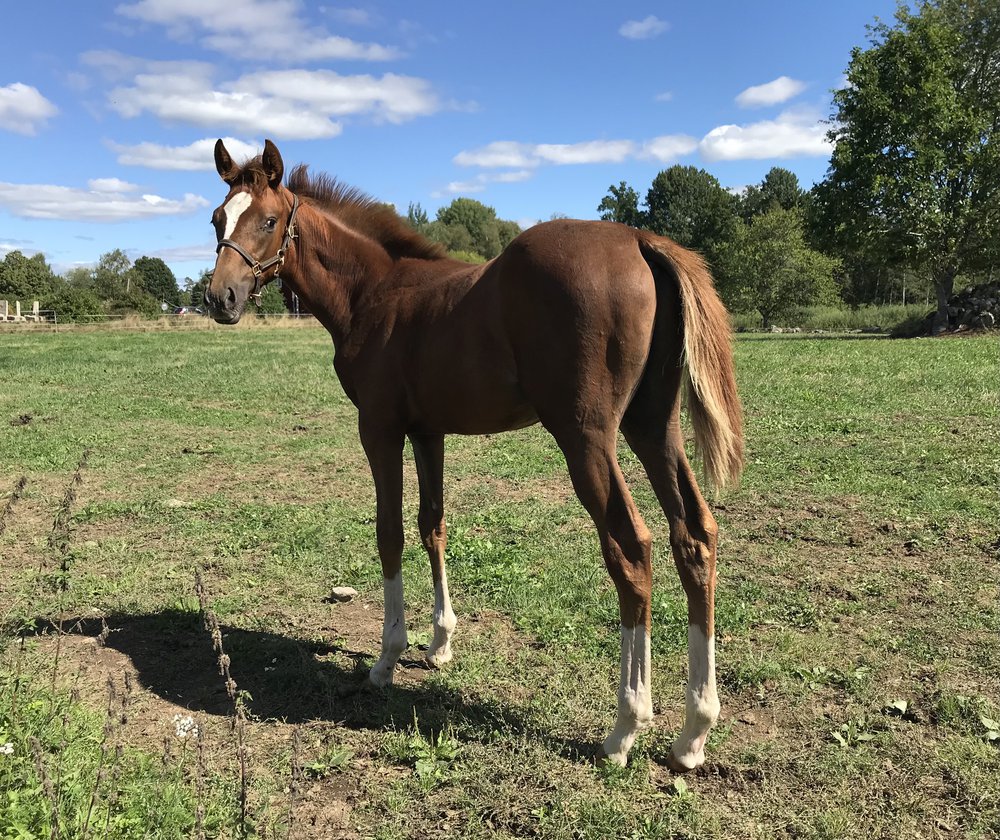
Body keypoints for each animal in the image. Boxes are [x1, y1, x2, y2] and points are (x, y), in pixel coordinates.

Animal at [203, 139, 744, 768]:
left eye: (268, 220)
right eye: (217, 220)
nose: (221, 297)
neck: (373, 291)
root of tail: (639, 240)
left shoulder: (379, 428)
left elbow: (389, 531)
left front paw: (386, 659)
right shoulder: (427, 432)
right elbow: (432, 524)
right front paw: (439, 643)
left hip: (587, 437)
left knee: (631, 550)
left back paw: (625, 728)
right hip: (652, 426)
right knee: (695, 536)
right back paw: (693, 732)